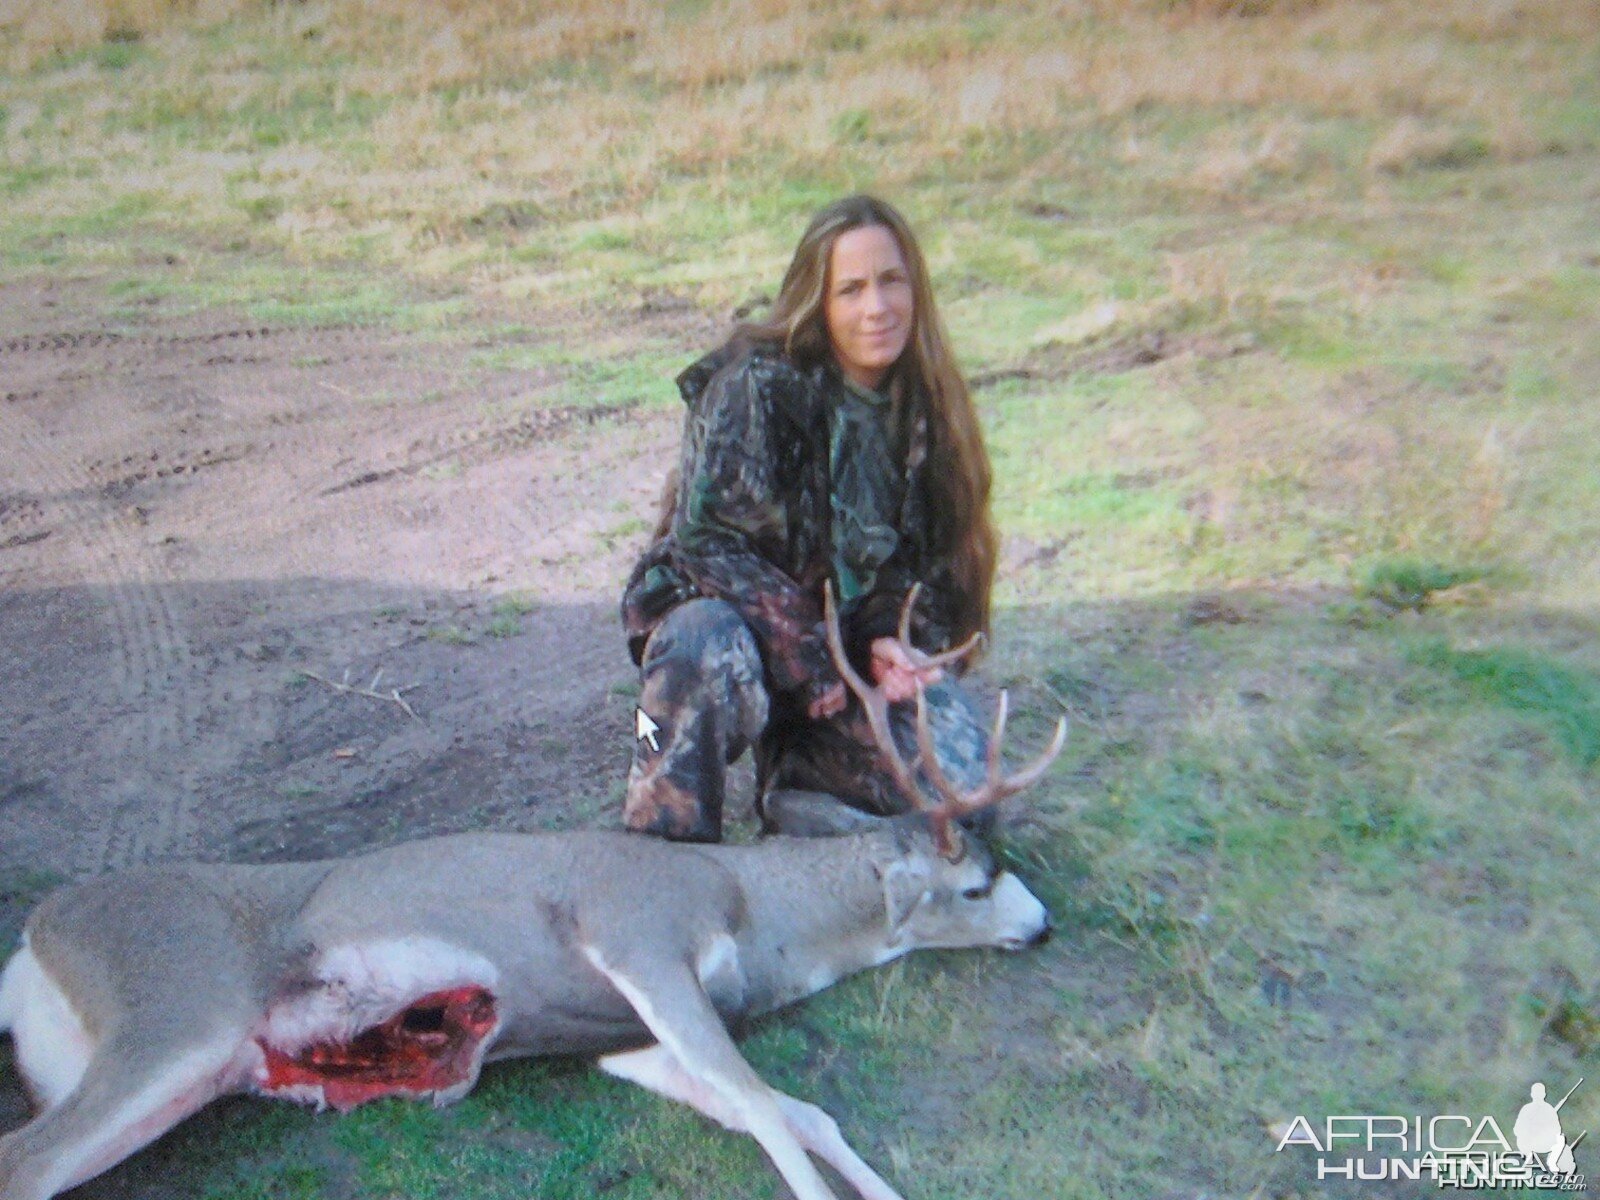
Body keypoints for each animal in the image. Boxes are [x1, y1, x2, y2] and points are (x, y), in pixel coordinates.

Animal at [6, 598, 1068, 1200]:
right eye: (976, 884)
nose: (1043, 924)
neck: (752, 908)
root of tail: (31, 943)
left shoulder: (625, 1040)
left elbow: (794, 1111)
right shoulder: (636, 933)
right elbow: (768, 1115)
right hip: (178, 1010)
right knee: (26, 1160)